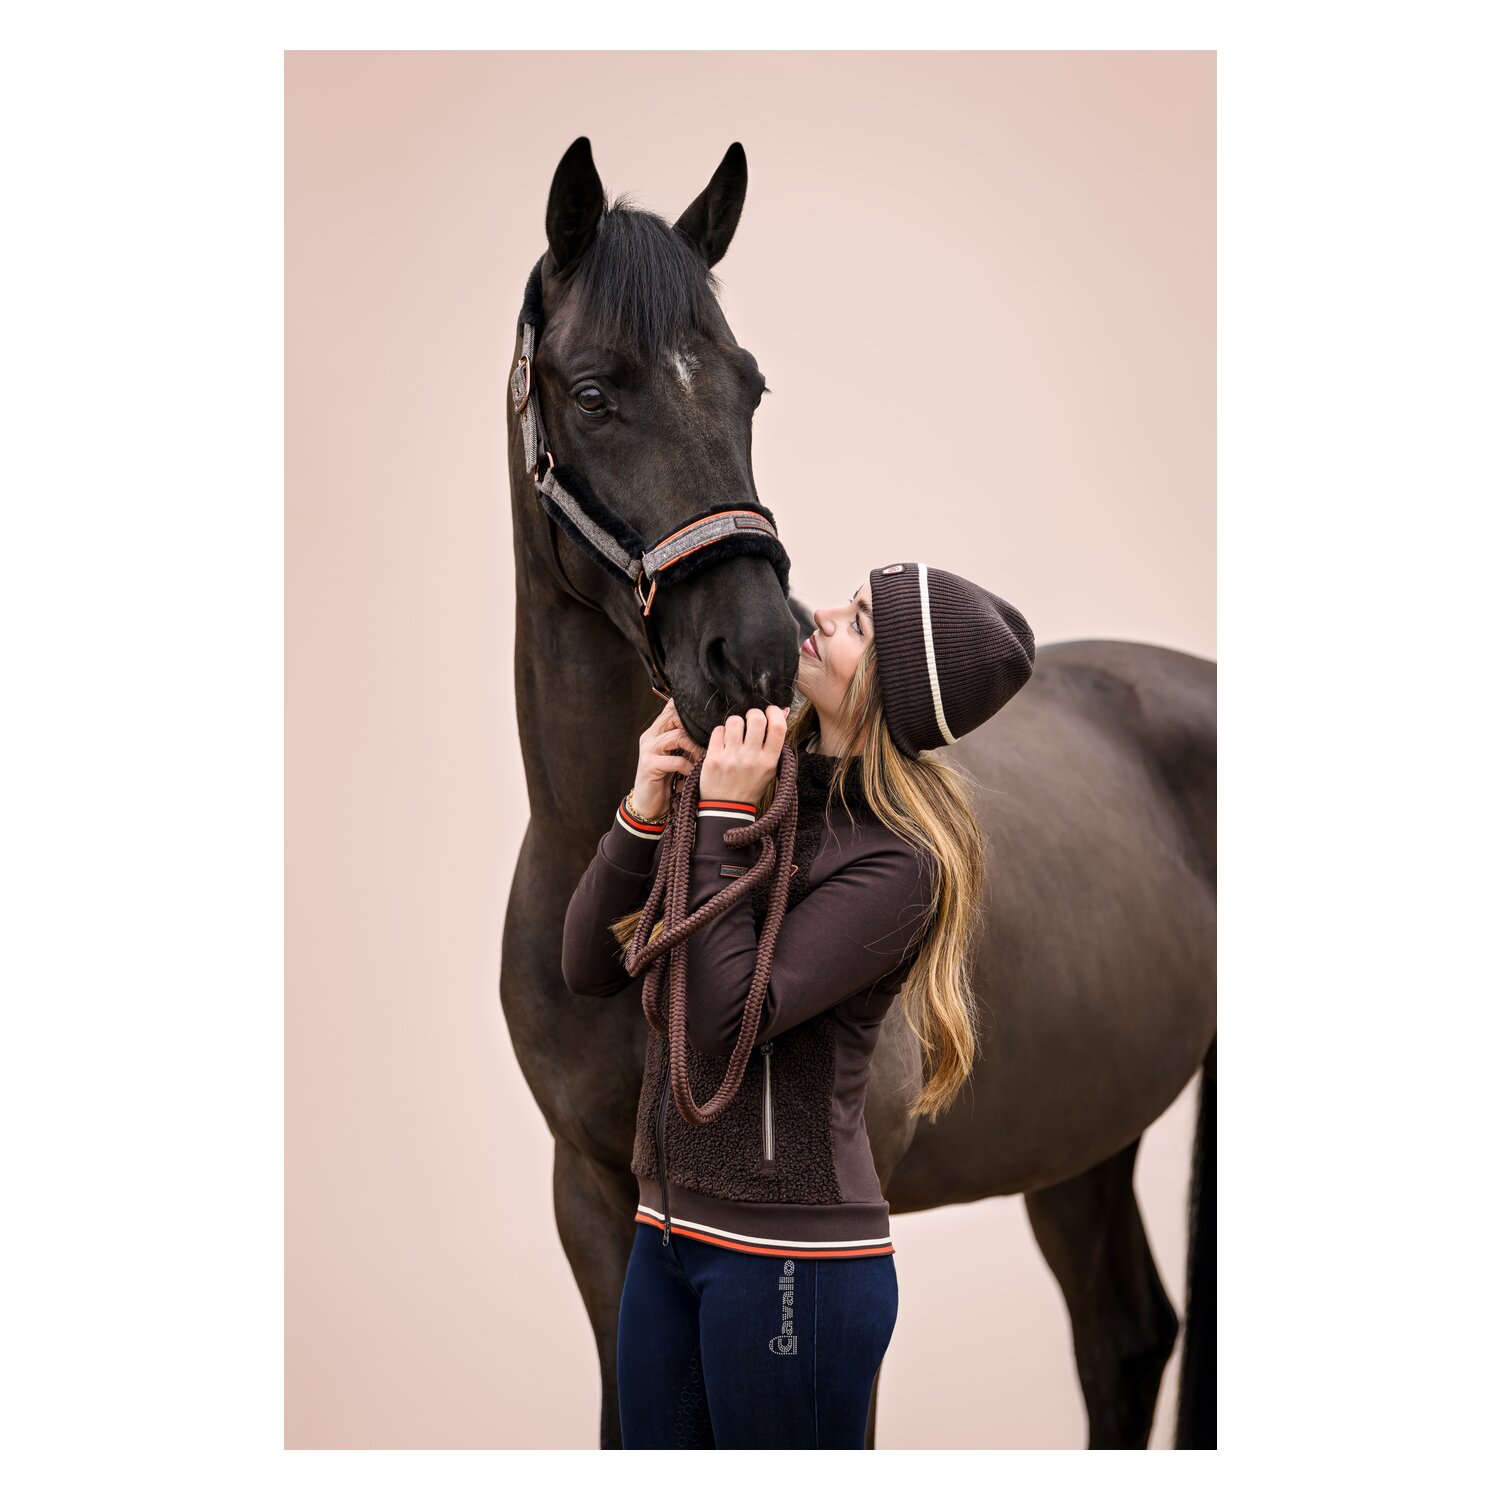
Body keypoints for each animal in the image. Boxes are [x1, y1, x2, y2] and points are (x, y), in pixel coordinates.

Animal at [499, 136, 1216, 1449]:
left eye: (751, 388)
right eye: (592, 391)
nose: (754, 653)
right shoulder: (590, 1197)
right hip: (1081, 1135)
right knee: (1126, 1334)